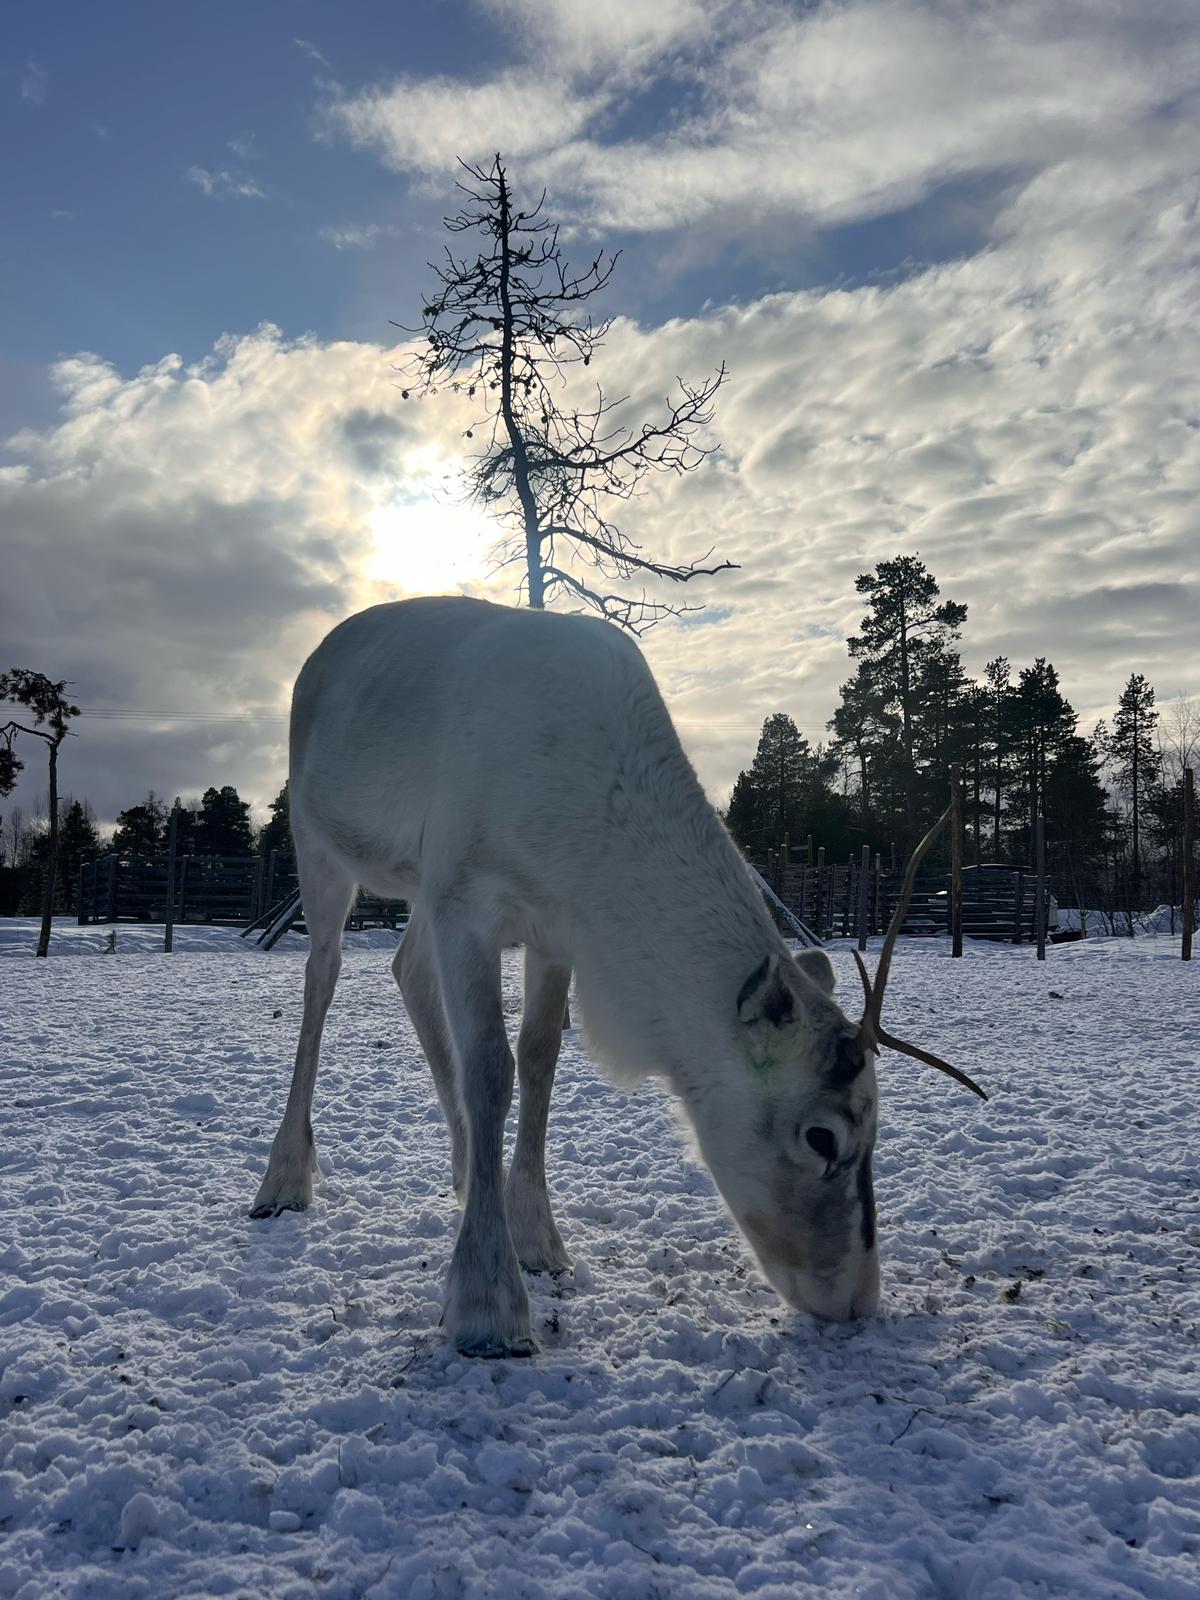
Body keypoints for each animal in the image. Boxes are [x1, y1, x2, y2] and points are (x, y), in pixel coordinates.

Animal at [251, 596, 984, 1357]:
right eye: (823, 1137)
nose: (856, 1300)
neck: (585, 840)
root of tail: (317, 657)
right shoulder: (467, 897)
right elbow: (491, 1070)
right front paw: (488, 1305)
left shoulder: (551, 931)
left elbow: (538, 1060)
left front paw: (537, 1238)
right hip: (319, 843)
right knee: (323, 975)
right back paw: (284, 1178)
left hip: (419, 886)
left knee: (406, 967)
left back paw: (461, 1173)